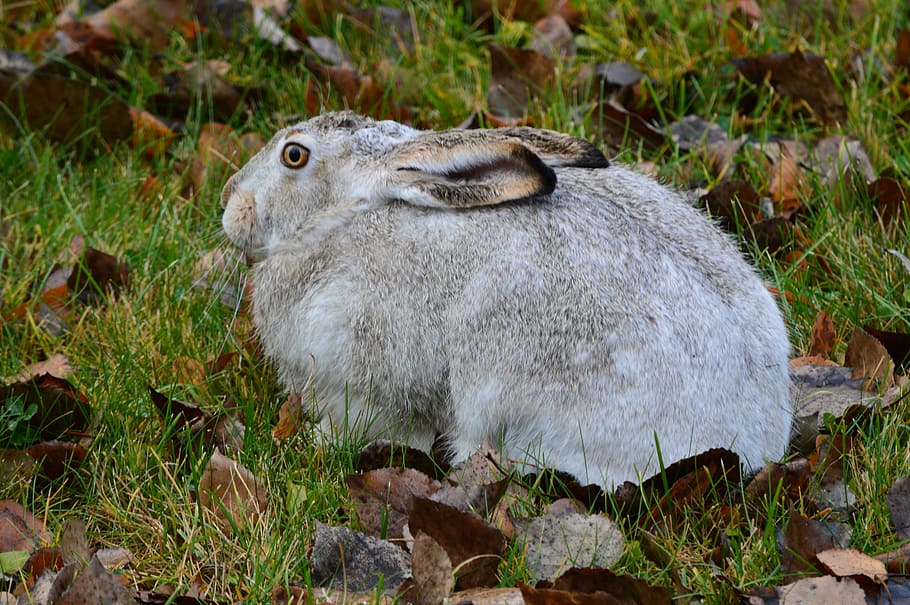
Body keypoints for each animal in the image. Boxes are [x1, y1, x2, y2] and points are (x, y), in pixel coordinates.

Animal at [221, 110, 792, 487]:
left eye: (294, 155)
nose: (229, 199)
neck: (346, 216)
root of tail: (758, 438)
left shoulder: (370, 378)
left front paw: (309, 442)